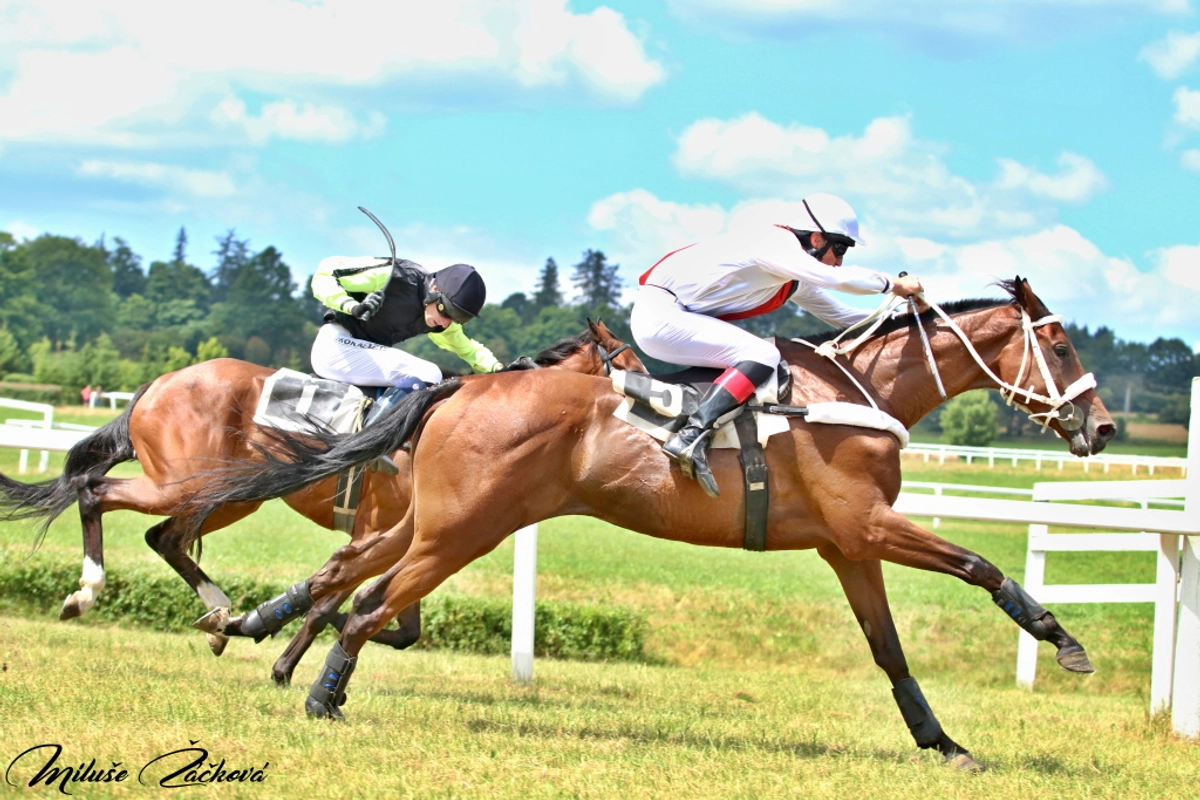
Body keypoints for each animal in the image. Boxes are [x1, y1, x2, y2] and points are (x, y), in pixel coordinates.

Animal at [0, 319, 648, 681]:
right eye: (633, 366)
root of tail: (158, 383)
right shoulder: (387, 527)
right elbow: (341, 601)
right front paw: (284, 658)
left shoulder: (416, 533)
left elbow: (392, 622)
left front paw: (278, 638)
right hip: (183, 483)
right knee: (95, 491)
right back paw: (86, 592)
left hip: (229, 493)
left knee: (165, 537)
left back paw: (218, 616)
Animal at [184, 278, 1113, 767]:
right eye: (1063, 346)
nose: (1102, 429)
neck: (855, 393)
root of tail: (458, 389)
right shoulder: (872, 526)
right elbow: (981, 567)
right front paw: (1062, 639)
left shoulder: (849, 545)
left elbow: (889, 649)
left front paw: (941, 740)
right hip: (461, 531)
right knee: (371, 603)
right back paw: (321, 696)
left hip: (441, 523)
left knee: (352, 580)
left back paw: (266, 635)